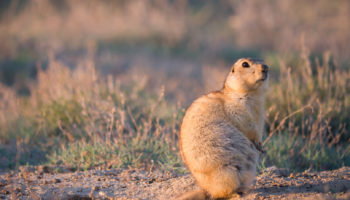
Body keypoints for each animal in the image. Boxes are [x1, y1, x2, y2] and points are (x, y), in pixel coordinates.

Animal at [178, 57, 268, 198]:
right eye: (245, 64)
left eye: (263, 60)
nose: (266, 68)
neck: (254, 94)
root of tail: (206, 190)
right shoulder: (235, 106)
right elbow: (246, 124)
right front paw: (258, 144)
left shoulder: (261, 112)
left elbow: (258, 126)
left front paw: (261, 146)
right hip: (227, 171)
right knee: (220, 193)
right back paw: (234, 194)